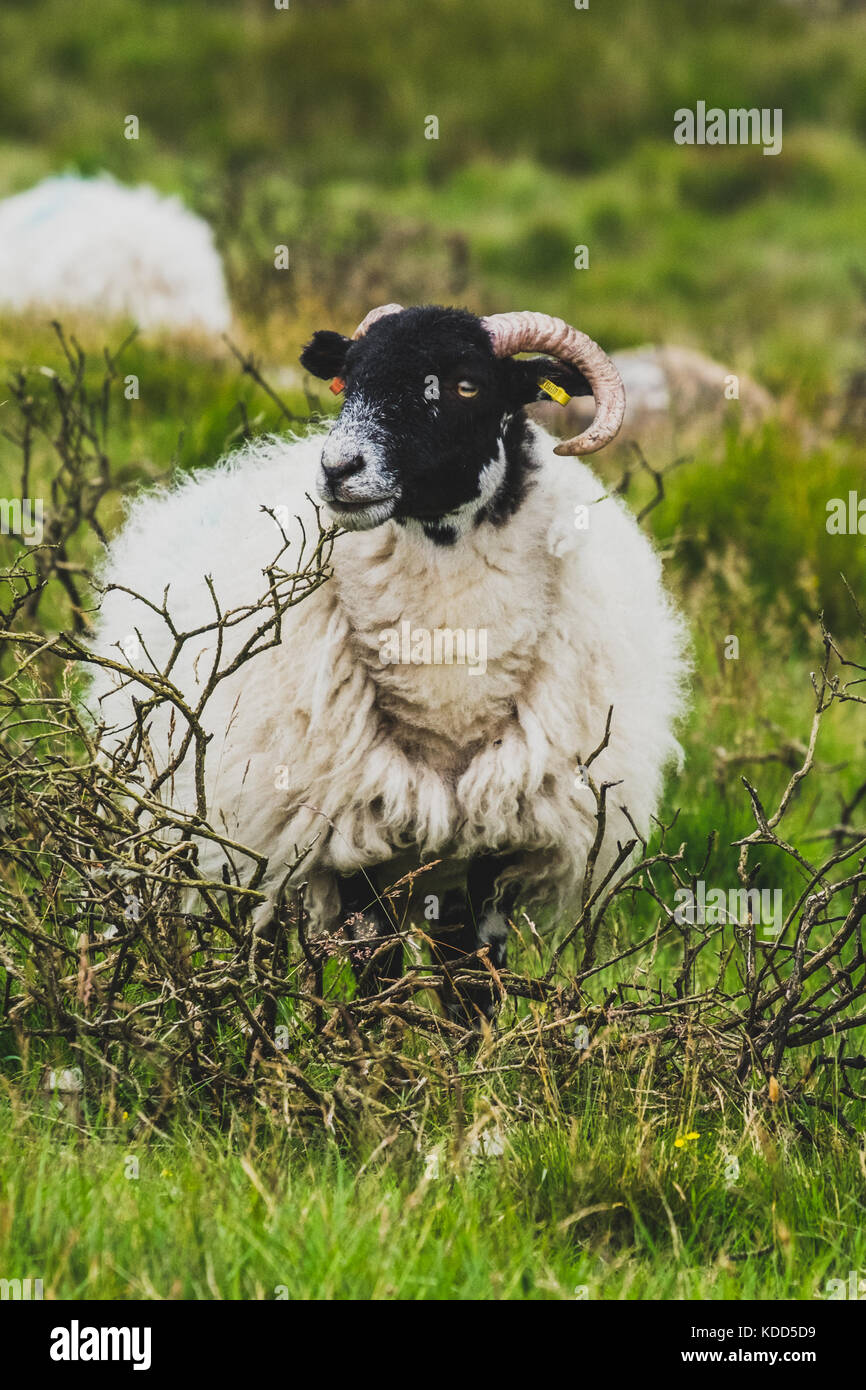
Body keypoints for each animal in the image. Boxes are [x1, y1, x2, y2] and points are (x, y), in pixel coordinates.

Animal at [88, 301, 692, 1023]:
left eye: (466, 385)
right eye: (347, 381)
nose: (337, 468)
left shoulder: (493, 847)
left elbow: (473, 981)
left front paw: (472, 1056)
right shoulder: (350, 839)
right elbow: (375, 972)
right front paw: (374, 1052)